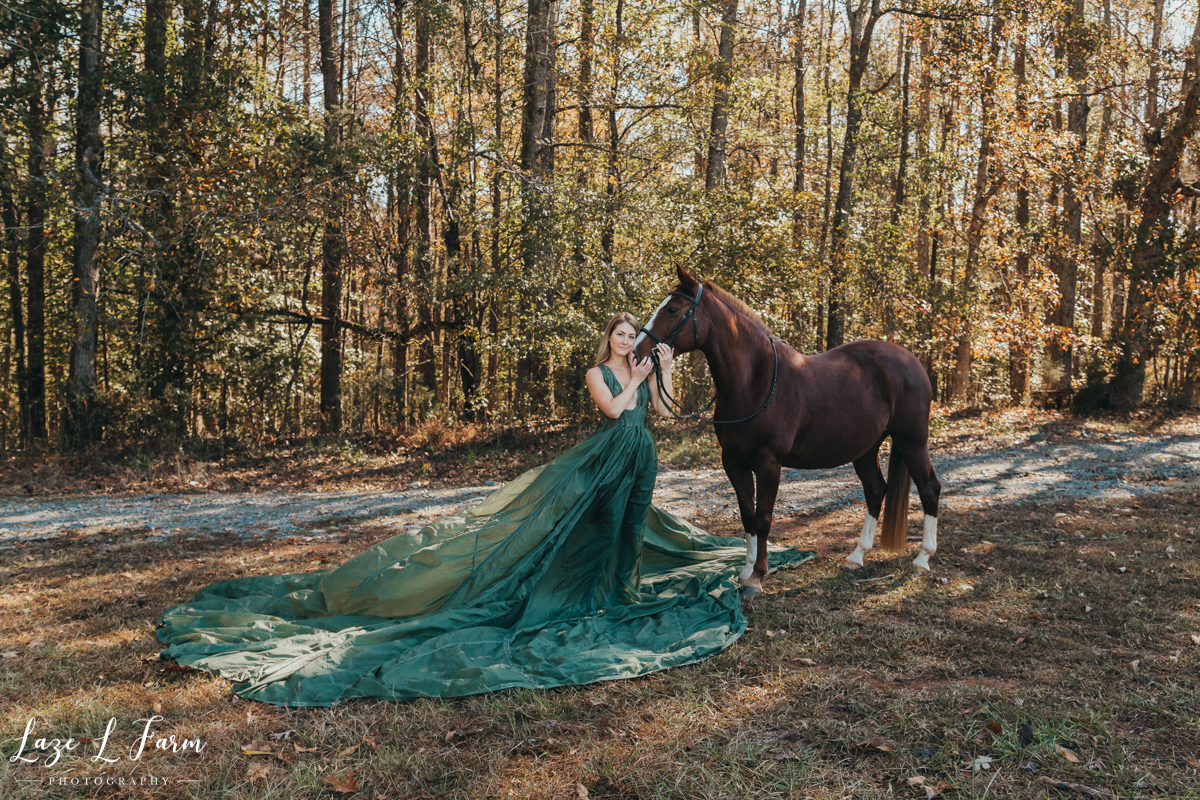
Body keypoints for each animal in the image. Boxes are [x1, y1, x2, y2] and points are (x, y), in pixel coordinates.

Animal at [633, 268, 940, 594]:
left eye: (673, 309)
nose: (637, 352)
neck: (754, 381)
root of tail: (912, 361)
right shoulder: (733, 462)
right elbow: (747, 515)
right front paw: (745, 571)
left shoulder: (769, 463)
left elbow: (764, 518)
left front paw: (757, 577)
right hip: (866, 449)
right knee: (875, 490)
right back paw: (856, 556)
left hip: (912, 441)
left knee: (929, 488)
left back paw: (922, 559)